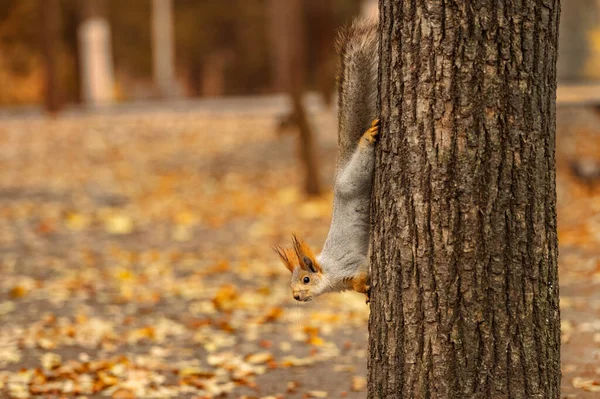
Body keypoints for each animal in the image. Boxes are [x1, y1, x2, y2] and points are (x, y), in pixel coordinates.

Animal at [274, 19, 378, 304]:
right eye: (291, 284)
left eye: (306, 280)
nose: (296, 297)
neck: (330, 274)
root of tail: (338, 176)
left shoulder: (351, 265)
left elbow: (361, 275)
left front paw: (366, 287)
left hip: (352, 182)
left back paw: (367, 137)